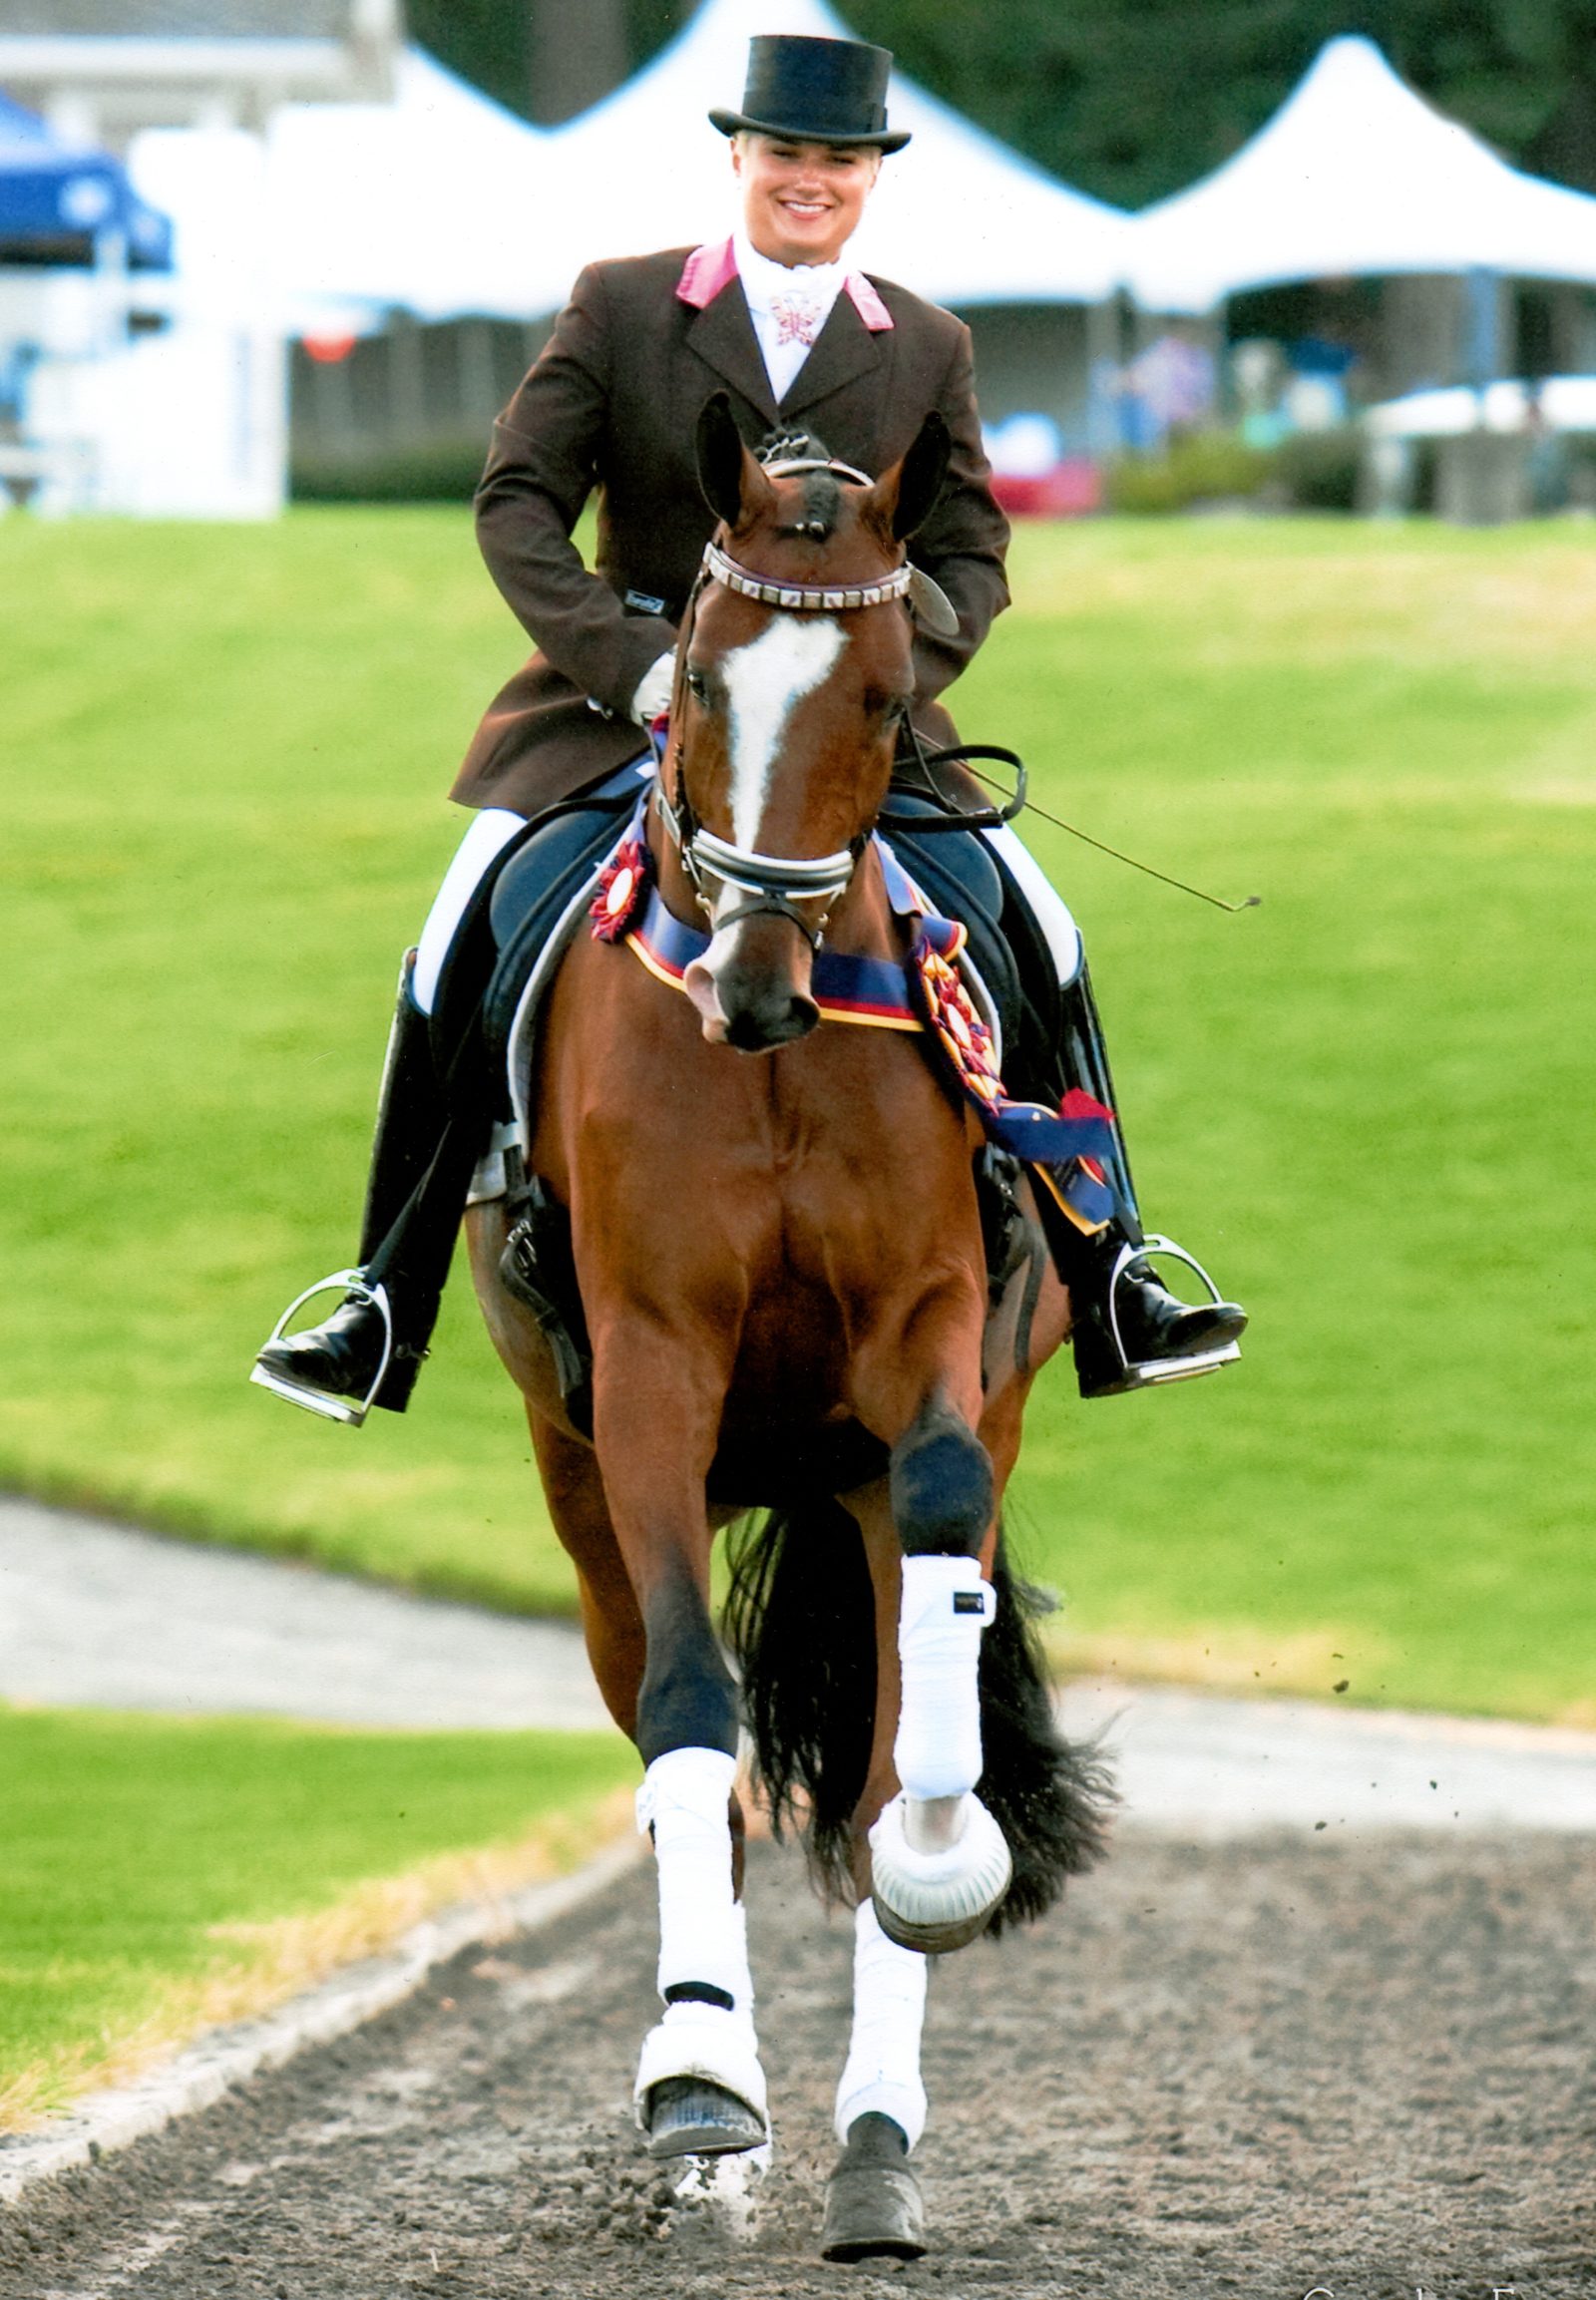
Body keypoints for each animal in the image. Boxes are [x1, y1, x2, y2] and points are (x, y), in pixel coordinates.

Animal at [467, 395, 1112, 2263]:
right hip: (578, 1483)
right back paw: (719, 2109)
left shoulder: (928, 1341)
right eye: (695, 665)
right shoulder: (652, 1375)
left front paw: (946, 1854)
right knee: (688, 1745)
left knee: (901, 1702)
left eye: (888, 696)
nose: (749, 990)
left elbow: (932, 1645)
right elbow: (696, 1714)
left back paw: (877, 2145)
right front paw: (697, 2079)